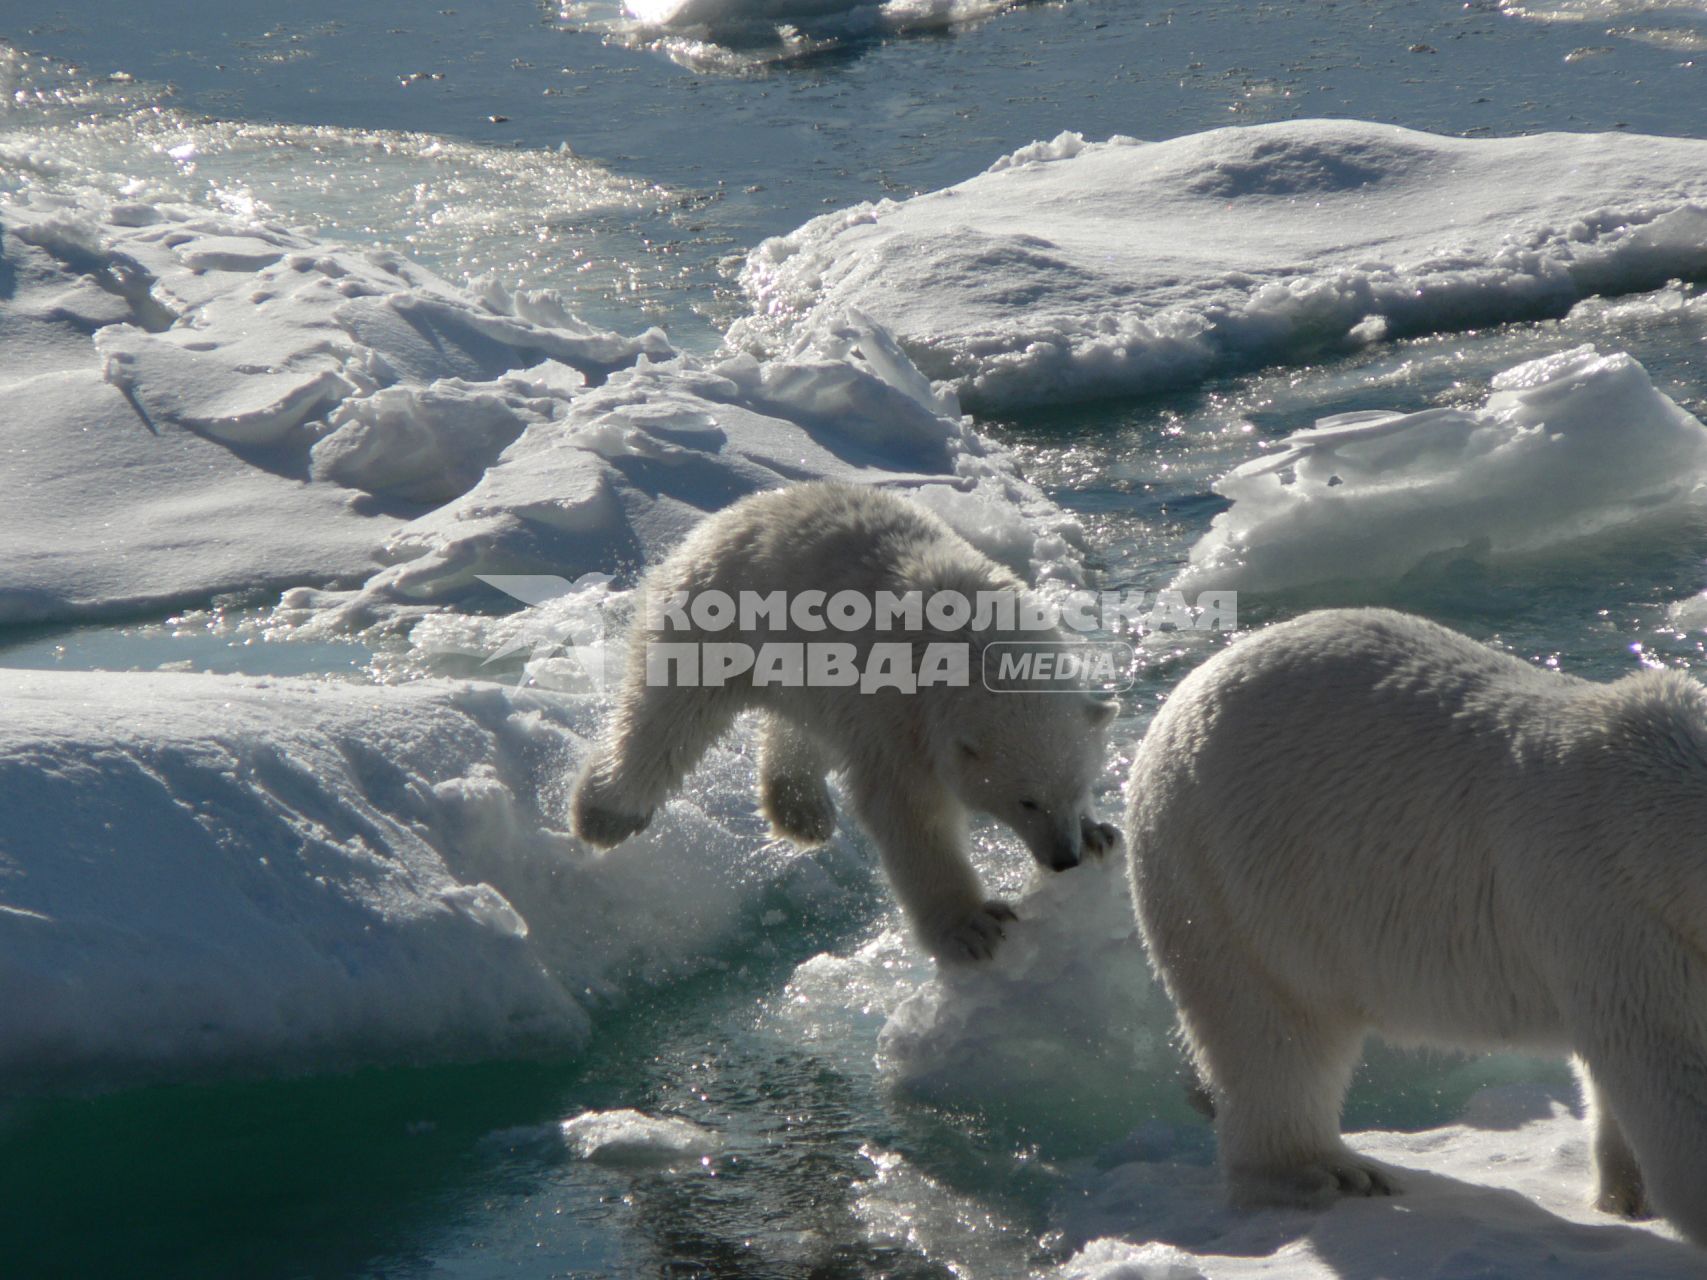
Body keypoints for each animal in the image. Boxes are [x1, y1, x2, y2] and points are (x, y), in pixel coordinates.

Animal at [573, 481, 1119, 962]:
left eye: (1078, 789)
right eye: (1026, 800)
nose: (1064, 859)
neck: (978, 646)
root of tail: (726, 515)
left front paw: (1100, 834)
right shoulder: (900, 715)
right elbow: (910, 813)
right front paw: (972, 928)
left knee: (800, 726)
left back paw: (801, 811)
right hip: (715, 616)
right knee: (668, 715)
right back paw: (603, 814)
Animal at [1126, 607, 1707, 1249]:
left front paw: (1625, 1197)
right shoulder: (1614, 909)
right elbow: (1669, 1068)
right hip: (1230, 882)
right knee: (1272, 1037)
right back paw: (1331, 1173)